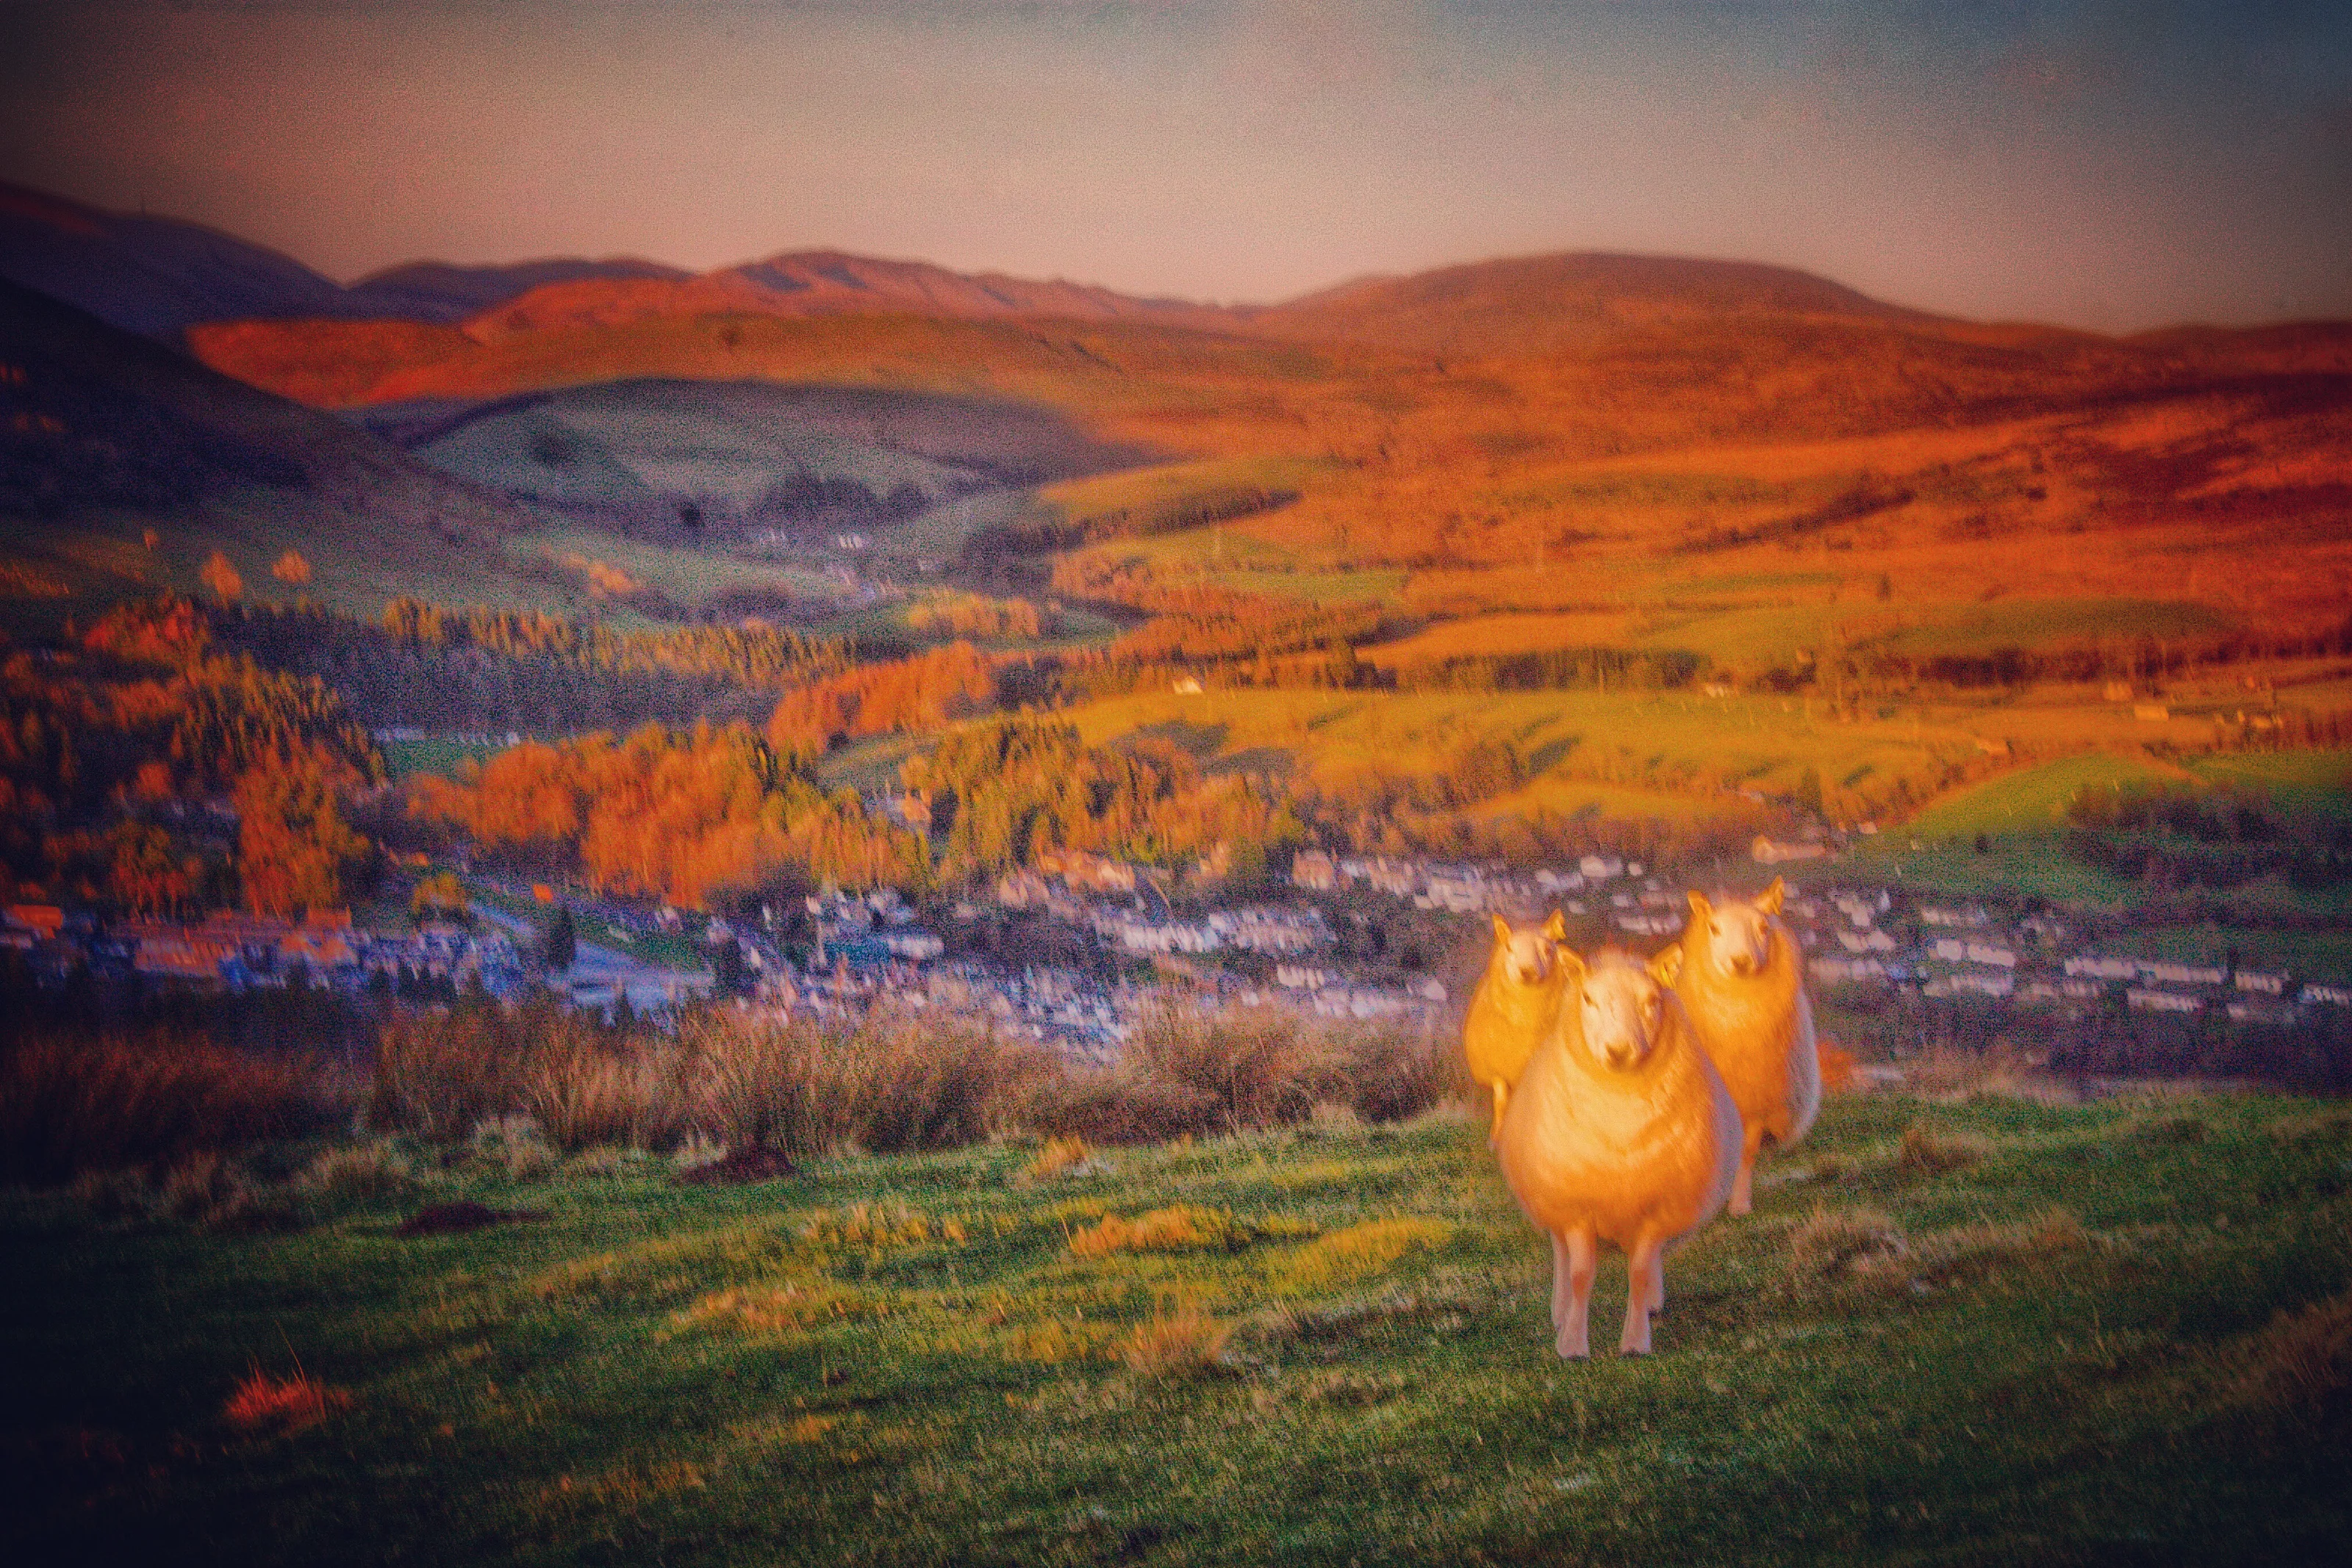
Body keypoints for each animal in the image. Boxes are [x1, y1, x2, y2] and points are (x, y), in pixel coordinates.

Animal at [1463, 911, 1568, 1144]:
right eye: (1510, 948)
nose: (1527, 971)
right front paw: (1497, 1139)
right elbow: (1502, 1103)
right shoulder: (1499, 1072)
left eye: (1547, 949)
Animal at [1495, 947, 1741, 1357]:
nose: (1619, 1050)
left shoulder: (1657, 1205)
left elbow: (1639, 1272)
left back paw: (1653, 1303)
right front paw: (1573, 1344)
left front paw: (1636, 1341)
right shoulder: (1577, 1204)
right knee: (1561, 1255)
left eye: (1652, 1000)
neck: (1621, 1116)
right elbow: (1580, 1275)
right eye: (1588, 998)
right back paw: (1560, 1312)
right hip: (1551, 1194)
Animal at [1660, 876, 1819, 1217]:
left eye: (1763, 926)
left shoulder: (1757, 1098)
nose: (1741, 961)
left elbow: (1745, 1152)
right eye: (1714, 928)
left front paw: (1739, 1204)